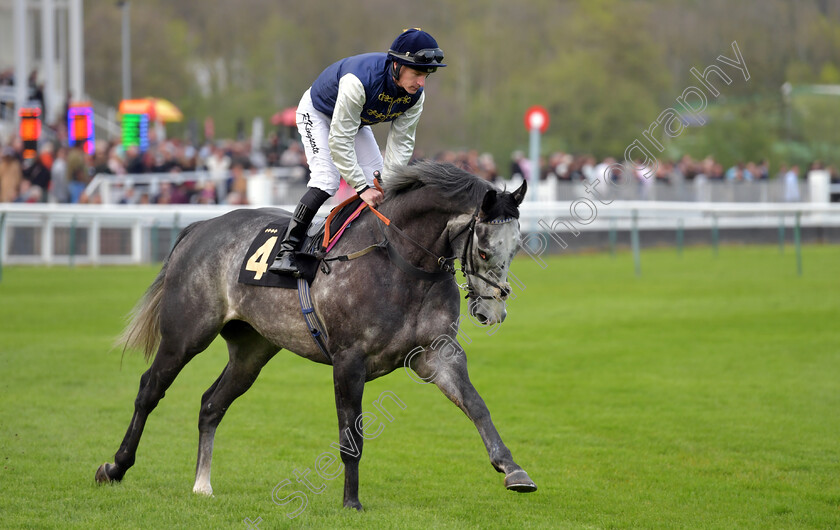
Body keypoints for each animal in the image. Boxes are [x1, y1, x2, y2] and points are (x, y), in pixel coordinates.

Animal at [93, 160, 540, 508]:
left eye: (516, 247)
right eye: (483, 250)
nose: (493, 311)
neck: (400, 261)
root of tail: (201, 226)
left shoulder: (437, 355)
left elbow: (477, 406)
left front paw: (514, 470)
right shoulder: (349, 361)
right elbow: (351, 435)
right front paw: (351, 502)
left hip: (252, 350)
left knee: (211, 403)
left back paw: (202, 484)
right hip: (185, 334)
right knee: (149, 389)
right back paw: (115, 466)